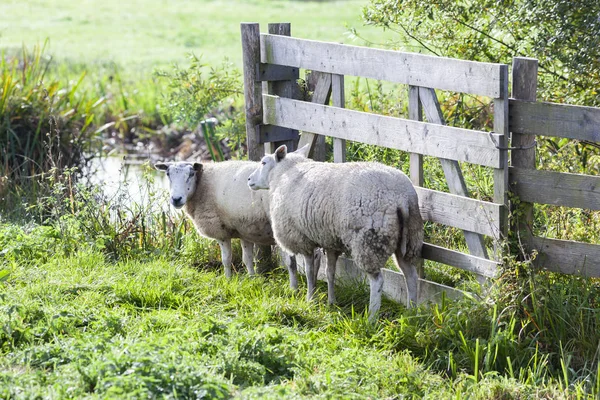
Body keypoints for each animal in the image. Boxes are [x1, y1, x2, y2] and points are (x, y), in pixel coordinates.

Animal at [152, 159, 298, 282]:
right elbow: (247, 259)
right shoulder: (245, 228)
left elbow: (226, 260)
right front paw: (252, 279)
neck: (202, 185)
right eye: (168, 174)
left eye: (191, 174)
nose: (176, 199)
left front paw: (227, 280)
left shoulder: (220, 231)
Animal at [246, 145, 424, 320]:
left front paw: (309, 298)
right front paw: (331, 301)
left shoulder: (302, 238)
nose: (249, 180)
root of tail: (401, 197)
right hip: (410, 238)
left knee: (378, 281)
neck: (284, 173)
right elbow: (329, 272)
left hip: (369, 241)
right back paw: (412, 313)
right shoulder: (330, 241)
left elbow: (308, 271)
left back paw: (371, 318)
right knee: (411, 276)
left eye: (263, 162)